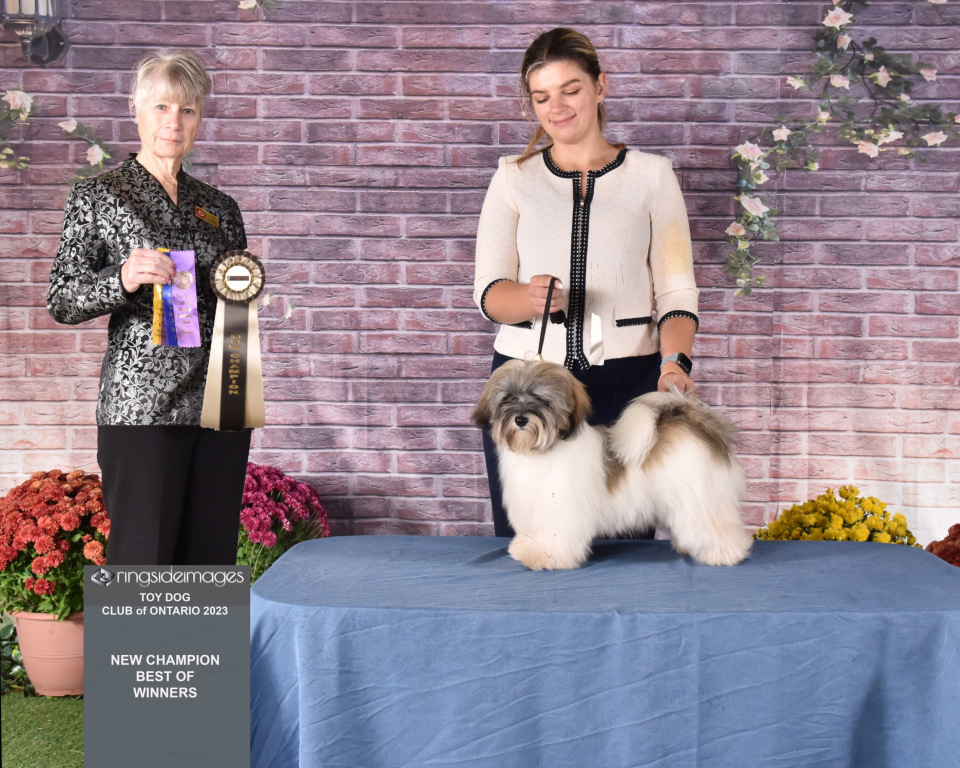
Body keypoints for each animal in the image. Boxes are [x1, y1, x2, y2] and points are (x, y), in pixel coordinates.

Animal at [472, 359, 751, 570]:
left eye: (542, 400)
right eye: (508, 399)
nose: (521, 419)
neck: (542, 450)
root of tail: (693, 421)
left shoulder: (561, 510)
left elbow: (556, 536)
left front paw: (548, 558)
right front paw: (525, 548)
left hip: (698, 497)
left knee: (714, 526)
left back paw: (726, 554)